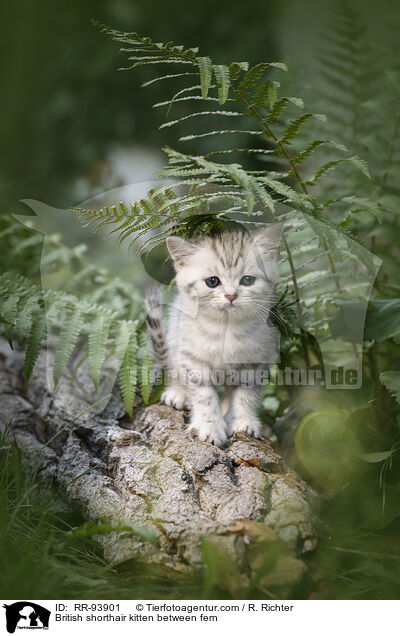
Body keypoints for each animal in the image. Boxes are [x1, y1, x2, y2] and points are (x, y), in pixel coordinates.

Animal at [145, 225, 282, 448]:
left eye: (247, 280)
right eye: (212, 281)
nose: (231, 296)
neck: (226, 330)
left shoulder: (255, 361)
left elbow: (246, 394)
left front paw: (242, 421)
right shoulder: (194, 360)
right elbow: (204, 397)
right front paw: (209, 428)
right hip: (175, 335)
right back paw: (178, 393)